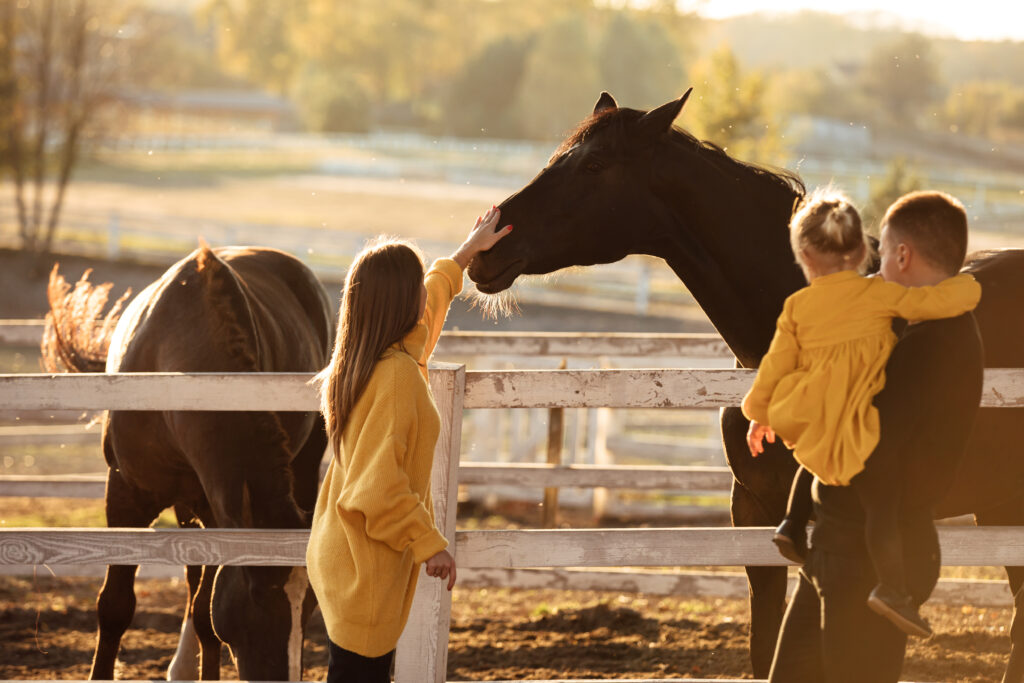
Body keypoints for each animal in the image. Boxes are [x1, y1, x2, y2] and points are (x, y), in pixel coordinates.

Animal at [42, 244, 334, 680]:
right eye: (258, 594)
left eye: (312, 604)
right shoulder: (124, 495)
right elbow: (114, 606)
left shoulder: (216, 511)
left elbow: (204, 614)